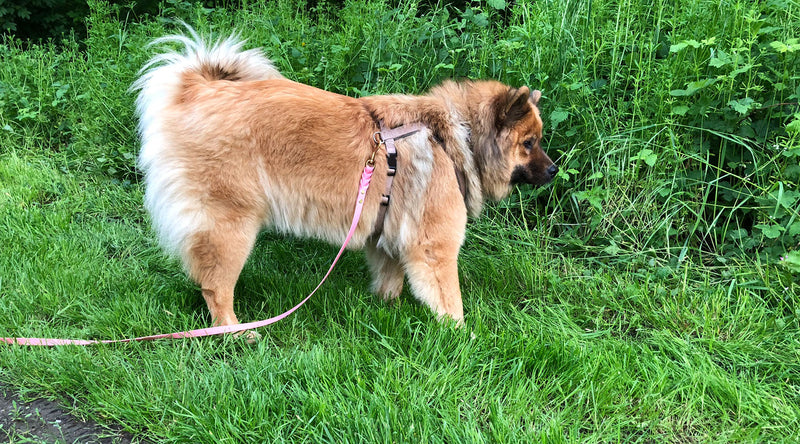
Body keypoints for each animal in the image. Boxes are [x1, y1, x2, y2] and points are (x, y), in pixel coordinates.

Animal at [133, 26, 556, 326]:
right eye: (529, 143)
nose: (553, 170)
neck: (455, 136)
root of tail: (198, 89)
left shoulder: (388, 234)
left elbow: (390, 281)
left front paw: (387, 312)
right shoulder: (434, 245)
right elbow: (450, 300)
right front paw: (462, 335)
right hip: (230, 227)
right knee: (215, 289)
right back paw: (237, 332)